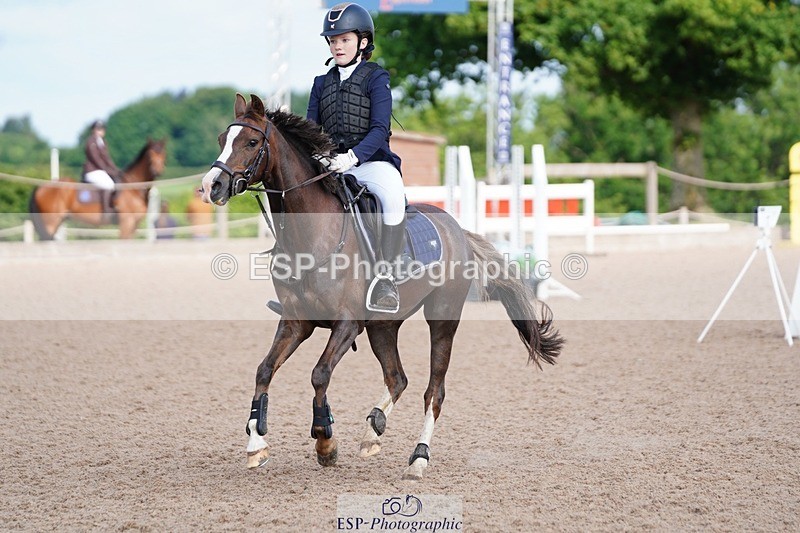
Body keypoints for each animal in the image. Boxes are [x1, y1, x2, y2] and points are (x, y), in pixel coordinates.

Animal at [29, 138, 167, 240]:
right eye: (150, 154)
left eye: (163, 154)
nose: (157, 171)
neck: (133, 187)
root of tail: (40, 187)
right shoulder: (127, 223)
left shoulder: (134, 225)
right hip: (50, 222)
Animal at [200, 94, 563, 480]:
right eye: (222, 139)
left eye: (252, 142)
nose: (211, 187)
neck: (309, 233)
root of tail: (456, 229)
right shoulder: (297, 322)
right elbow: (265, 370)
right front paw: (256, 444)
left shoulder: (346, 323)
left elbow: (319, 373)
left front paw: (325, 441)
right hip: (382, 326)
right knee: (397, 378)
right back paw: (372, 431)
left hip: (442, 319)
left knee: (433, 391)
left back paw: (418, 459)